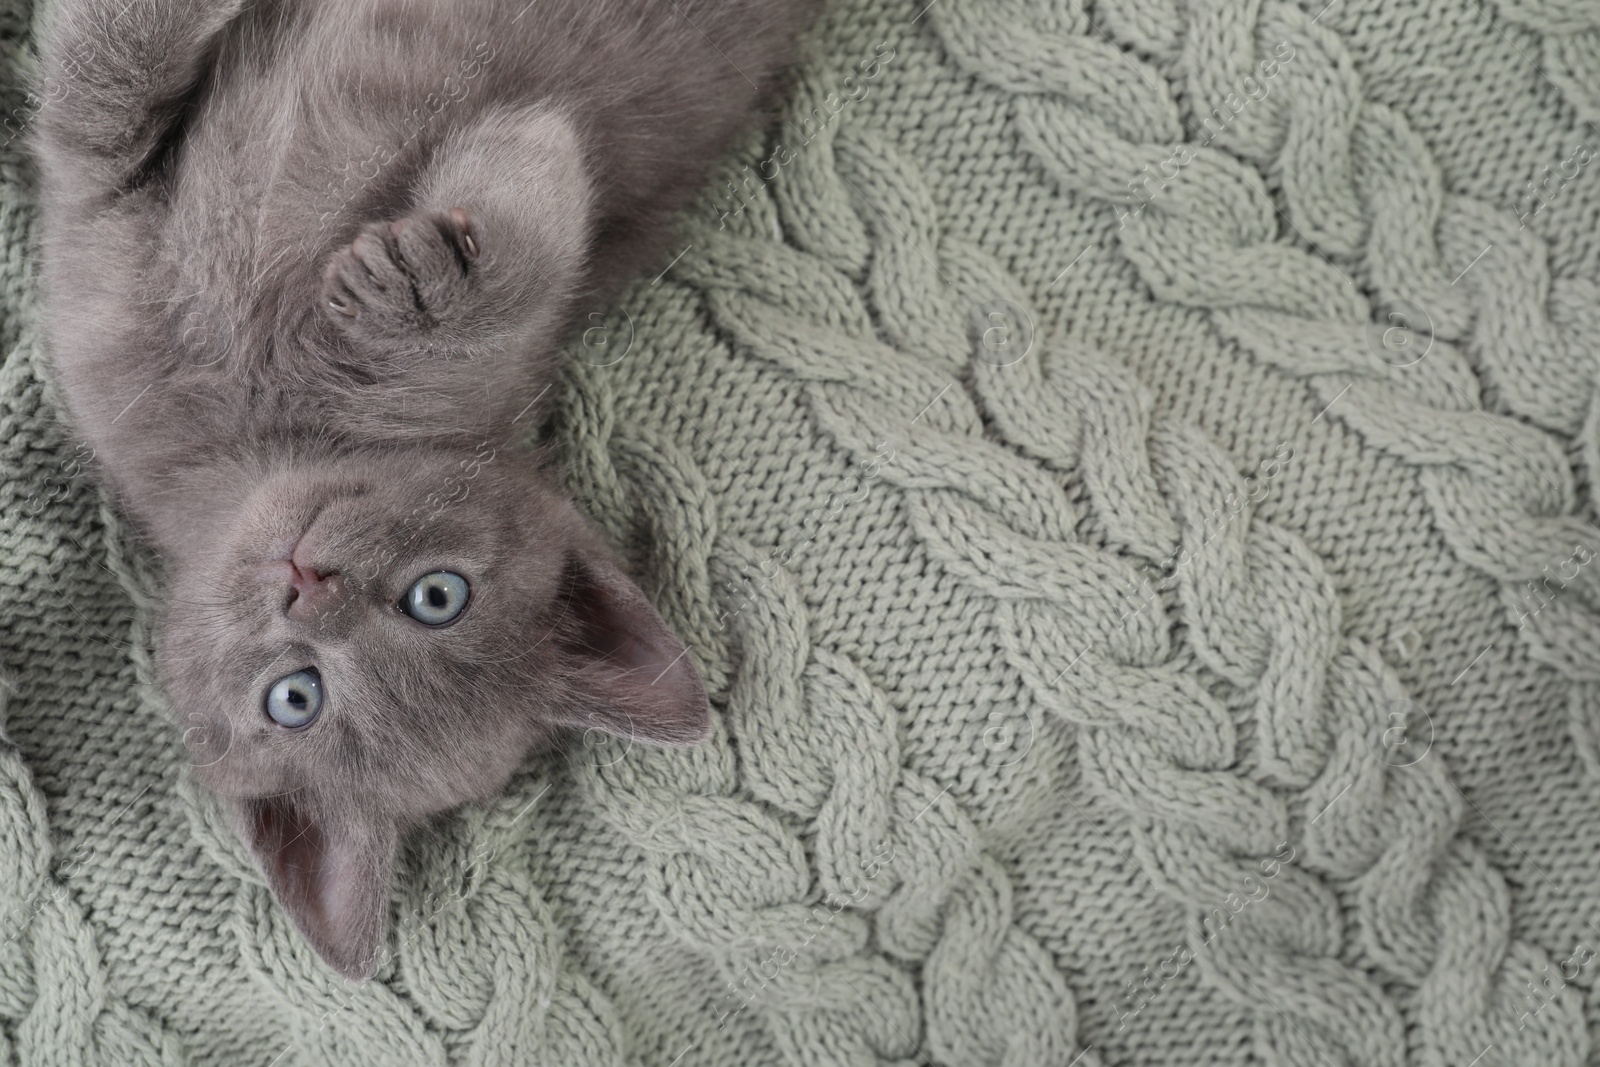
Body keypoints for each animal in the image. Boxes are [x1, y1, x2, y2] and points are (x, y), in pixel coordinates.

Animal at [31, 0, 819, 985]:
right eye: (293, 696)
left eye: (436, 598)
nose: (308, 585)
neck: (260, 431)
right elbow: (107, 104)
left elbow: (542, 187)